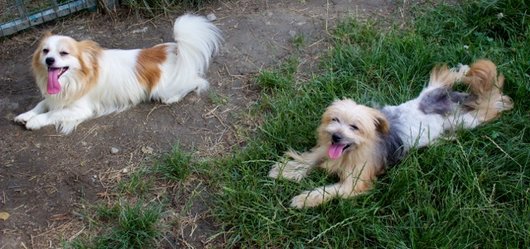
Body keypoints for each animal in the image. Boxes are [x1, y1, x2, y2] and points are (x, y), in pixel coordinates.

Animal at [14, 13, 221, 133]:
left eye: (64, 53)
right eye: (45, 51)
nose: (49, 60)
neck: (72, 80)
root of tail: (176, 50)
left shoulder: (80, 109)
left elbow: (52, 114)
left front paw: (34, 121)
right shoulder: (56, 97)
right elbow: (42, 104)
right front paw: (26, 115)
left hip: (163, 89)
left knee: (197, 82)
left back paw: (174, 98)